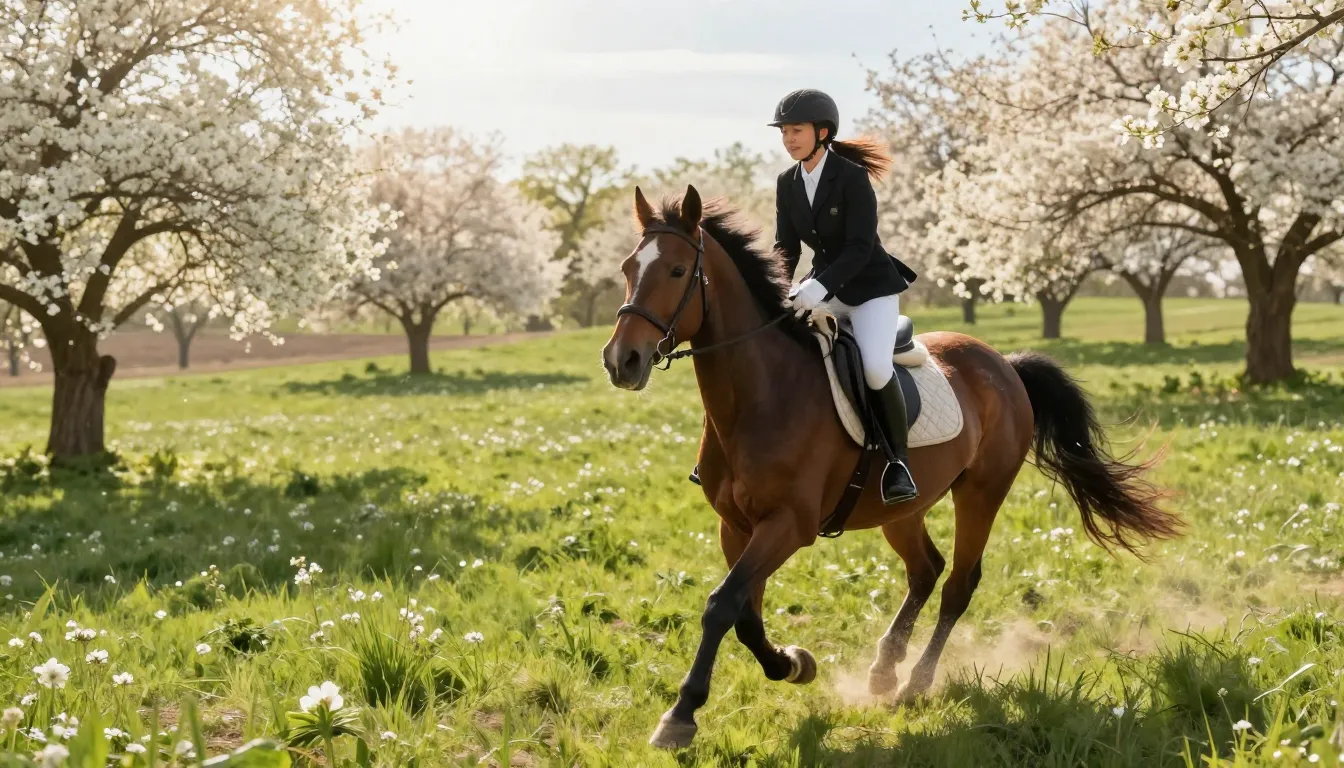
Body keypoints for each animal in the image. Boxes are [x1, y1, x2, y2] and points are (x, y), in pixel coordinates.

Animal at [599, 184, 1181, 750]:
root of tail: (1005, 364)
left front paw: (681, 715)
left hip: (982, 493)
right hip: (902, 508)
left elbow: (722, 605)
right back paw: (884, 668)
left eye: (678, 271)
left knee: (958, 583)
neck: (759, 395)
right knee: (925, 569)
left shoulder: (788, 524)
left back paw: (916, 683)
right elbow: (744, 614)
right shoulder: (735, 525)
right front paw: (793, 665)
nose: (621, 361)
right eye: (628, 268)